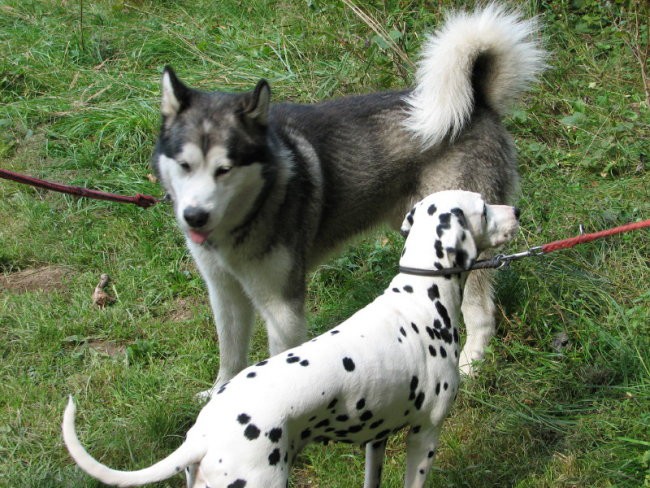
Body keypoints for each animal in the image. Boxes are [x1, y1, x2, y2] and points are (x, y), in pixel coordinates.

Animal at [62, 191, 516, 488]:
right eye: (483, 207)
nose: (516, 210)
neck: (421, 296)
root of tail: (202, 435)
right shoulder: (425, 434)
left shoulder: (377, 438)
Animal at [152, 3, 540, 394]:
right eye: (185, 165)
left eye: (225, 169)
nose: (194, 216)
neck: (253, 206)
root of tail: (477, 103)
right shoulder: (224, 292)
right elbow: (230, 355)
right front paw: (219, 392)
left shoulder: (282, 307)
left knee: (481, 313)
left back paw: (472, 363)